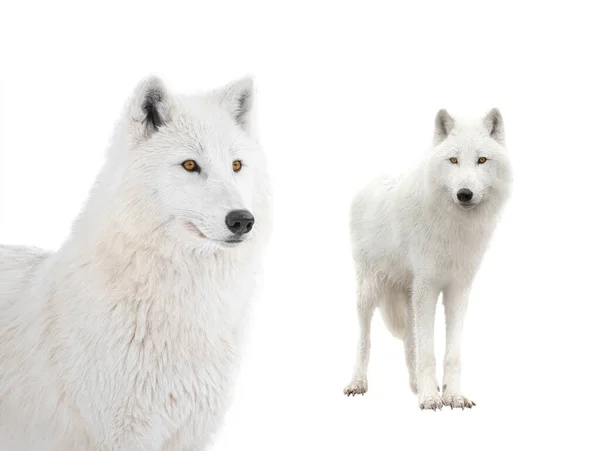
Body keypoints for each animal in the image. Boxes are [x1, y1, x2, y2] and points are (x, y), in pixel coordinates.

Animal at [342, 108, 510, 410]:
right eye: (453, 160)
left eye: (481, 160)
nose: (464, 194)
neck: (454, 228)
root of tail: (371, 181)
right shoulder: (428, 286)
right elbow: (428, 350)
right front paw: (431, 397)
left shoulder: (457, 289)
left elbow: (449, 353)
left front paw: (452, 395)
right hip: (369, 291)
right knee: (365, 339)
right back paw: (358, 383)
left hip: (408, 294)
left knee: (410, 340)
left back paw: (415, 385)